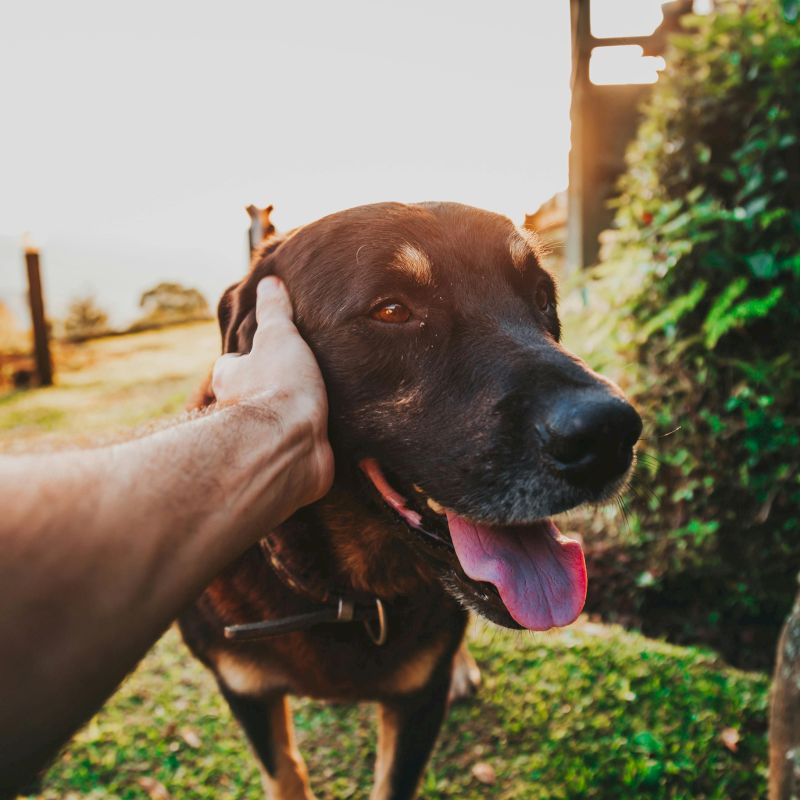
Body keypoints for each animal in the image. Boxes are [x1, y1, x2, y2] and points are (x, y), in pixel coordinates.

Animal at [178, 202, 640, 800]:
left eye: (541, 296)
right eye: (393, 310)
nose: (611, 435)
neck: (345, 594)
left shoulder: (419, 700)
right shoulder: (246, 690)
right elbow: (285, 773)